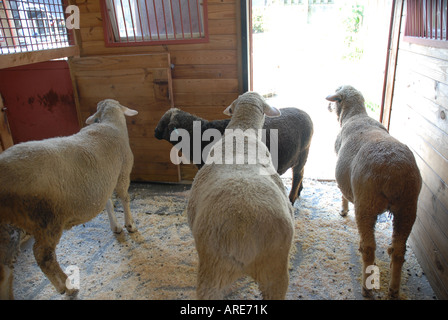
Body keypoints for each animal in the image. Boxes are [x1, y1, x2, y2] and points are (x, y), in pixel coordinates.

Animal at [0, 99, 138, 296]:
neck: (110, 122)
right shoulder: (122, 173)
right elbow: (124, 198)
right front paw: (130, 225)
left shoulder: (103, 182)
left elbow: (108, 204)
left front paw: (116, 226)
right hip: (46, 218)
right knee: (43, 257)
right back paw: (67, 286)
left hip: (8, 230)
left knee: (5, 271)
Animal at [153, 106, 312, 204]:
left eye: (163, 121)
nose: (154, 132)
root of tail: (305, 114)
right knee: (301, 173)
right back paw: (299, 192)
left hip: (303, 153)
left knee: (298, 176)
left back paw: (292, 198)